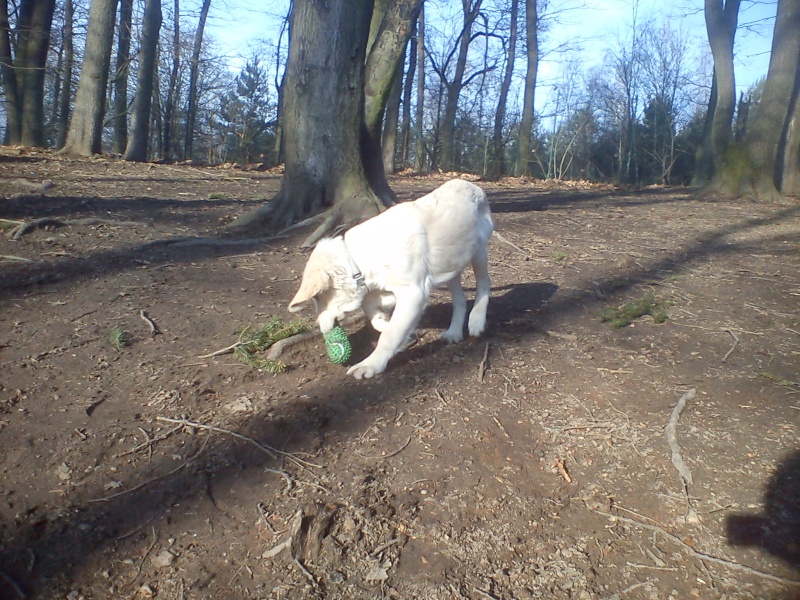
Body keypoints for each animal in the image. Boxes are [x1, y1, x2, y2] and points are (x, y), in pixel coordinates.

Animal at [290, 176, 490, 380]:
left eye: (317, 298)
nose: (318, 326)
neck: (360, 257)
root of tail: (472, 185)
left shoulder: (414, 293)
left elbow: (390, 335)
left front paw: (371, 364)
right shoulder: (389, 288)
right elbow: (372, 311)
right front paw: (387, 324)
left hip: (478, 253)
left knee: (484, 284)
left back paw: (476, 320)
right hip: (451, 264)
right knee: (460, 299)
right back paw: (454, 332)